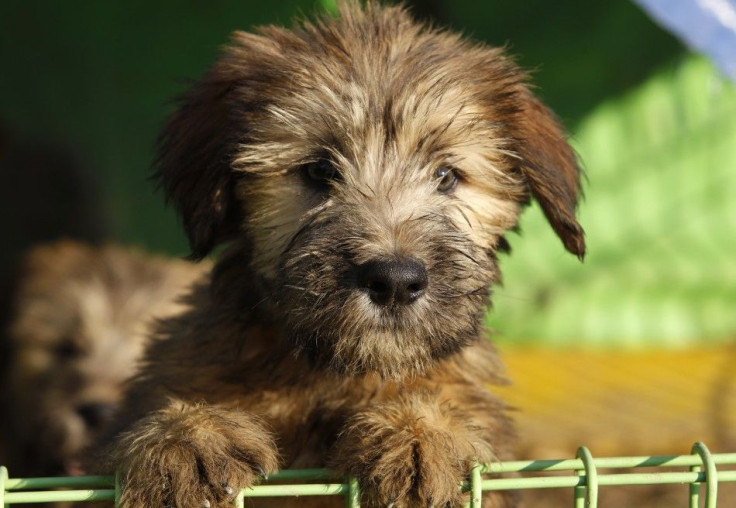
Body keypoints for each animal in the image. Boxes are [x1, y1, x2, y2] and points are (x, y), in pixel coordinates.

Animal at [100, 3, 588, 508]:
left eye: (446, 176)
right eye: (319, 170)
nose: (395, 280)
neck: (335, 374)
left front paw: (418, 433)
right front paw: (184, 437)